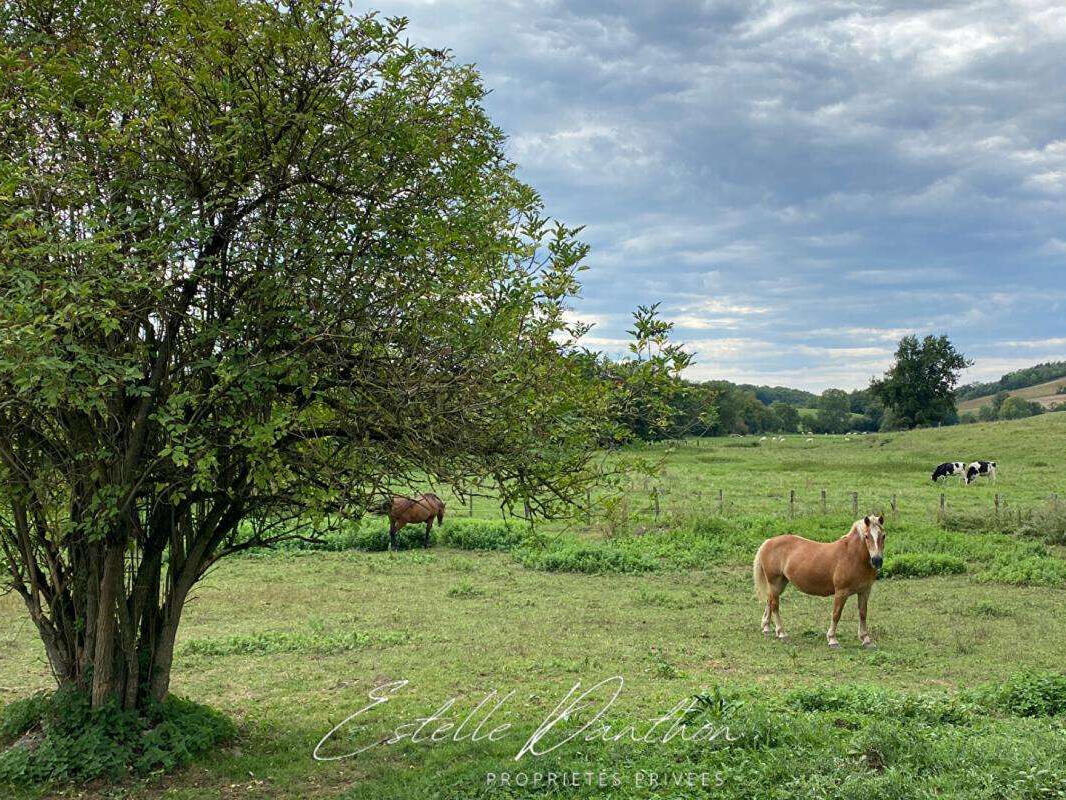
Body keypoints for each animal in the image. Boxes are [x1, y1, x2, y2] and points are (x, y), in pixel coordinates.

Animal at [754, 516, 886, 648]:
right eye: (866, 536)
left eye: (883, 535)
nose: (877, 560)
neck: (853, 557)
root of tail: (768, 542)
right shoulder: (841, 592)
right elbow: (836, 614)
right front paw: (832, 640)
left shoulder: (864, 591)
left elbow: (863, 613)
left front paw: (866, 640)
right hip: (774, 583)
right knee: (774, 605)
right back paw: (782, 633)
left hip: (781, 583)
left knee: (769, 601)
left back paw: (766, 628)